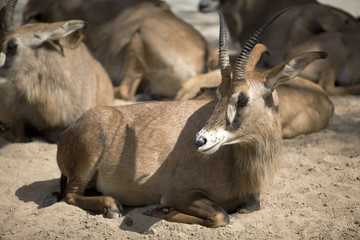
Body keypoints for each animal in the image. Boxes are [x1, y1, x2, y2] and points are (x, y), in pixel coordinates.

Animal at [57, 10, 330, 227]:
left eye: (242, 98)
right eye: (217, 93)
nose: (200, 140)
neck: (236, 162)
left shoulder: (251, 198)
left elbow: (249, 208)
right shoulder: (178, 193)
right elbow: (221, 216)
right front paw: (160, 210)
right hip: (86, 162)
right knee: (70, 195)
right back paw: (112, 206)